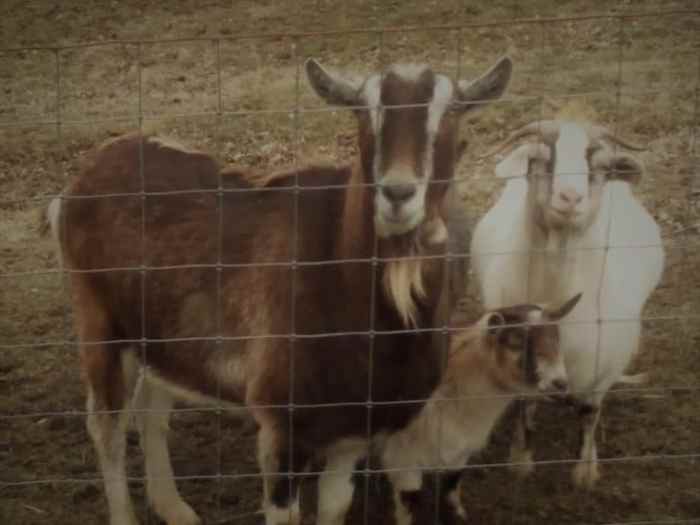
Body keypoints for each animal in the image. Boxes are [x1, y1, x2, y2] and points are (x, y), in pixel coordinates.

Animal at [54, 55, 512, 520]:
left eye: (451, 112)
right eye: (363, 113)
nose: (398, 193)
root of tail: (88, 172)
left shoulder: (352, 430)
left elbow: (335, 505)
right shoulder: (282, 426)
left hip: (160, 334)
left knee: (152, 406)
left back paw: (175, 508)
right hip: (98, 320)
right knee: (106, 425)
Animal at [470, 119, 660, 488]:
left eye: (599, 168)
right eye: (541, 160)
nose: (571, 197)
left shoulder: (604, 368)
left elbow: (589, 413)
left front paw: (585, 470)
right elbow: (525, 408)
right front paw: (520, 460)